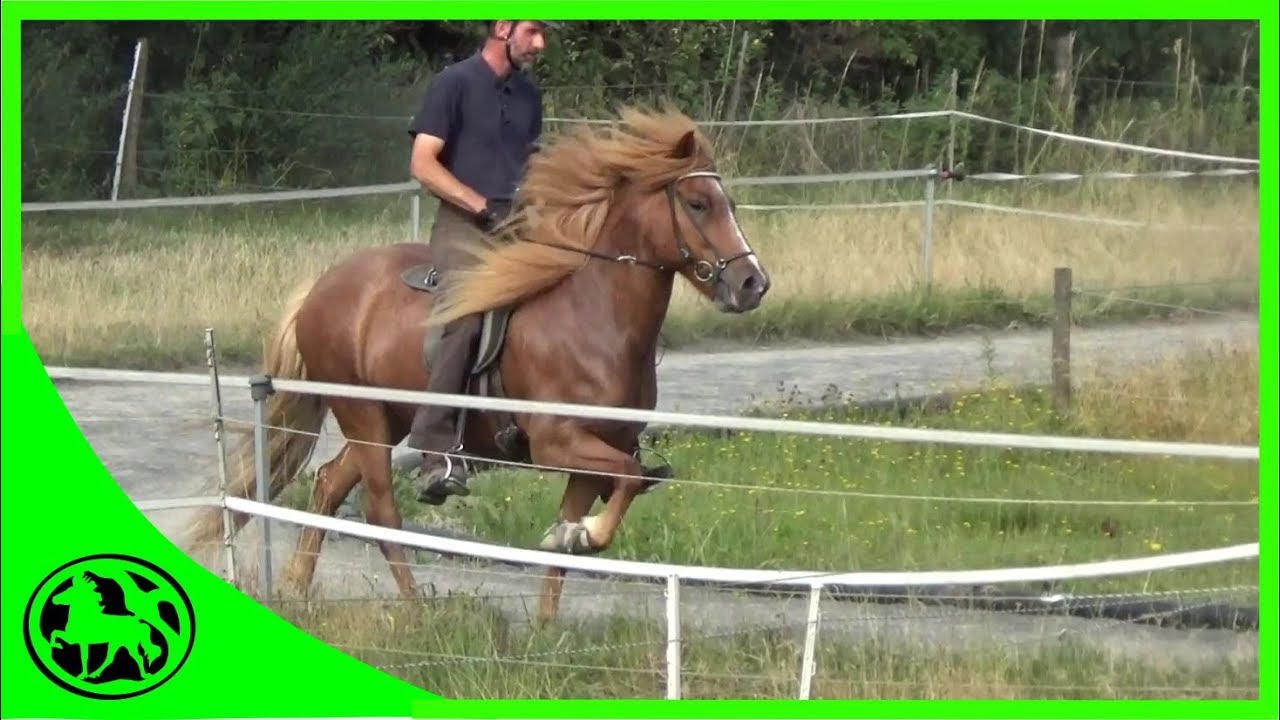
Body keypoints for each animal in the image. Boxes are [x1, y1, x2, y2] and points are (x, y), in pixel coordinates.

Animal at [186, 104, 772, 622]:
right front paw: (583, 535)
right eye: (696, 203)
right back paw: (416, 609)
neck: (595, 321)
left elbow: (568, 544)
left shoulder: (592, 457)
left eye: (728, 202)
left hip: (388, 419)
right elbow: (626, 481)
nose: (752, 284)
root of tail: (322, 287)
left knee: (330, 485)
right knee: (380, 510)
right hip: (363, 414)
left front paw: (549, 617)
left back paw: (295, 590)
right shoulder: (559, 442)